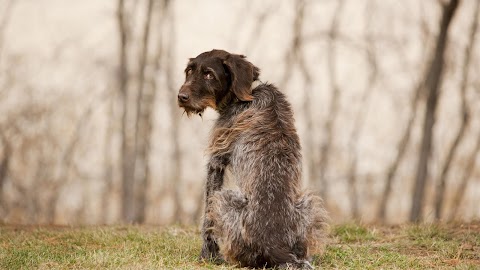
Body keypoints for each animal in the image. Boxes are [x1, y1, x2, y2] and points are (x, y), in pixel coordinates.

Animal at [178, 49, 328, 268]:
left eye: (209, 74)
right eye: (189, 71)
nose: (181, 97)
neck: (245, 95)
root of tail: (276, 248)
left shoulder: (216, 162)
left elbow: (206, 220)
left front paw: (207, 256)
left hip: (224, 199)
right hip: (310, 203)